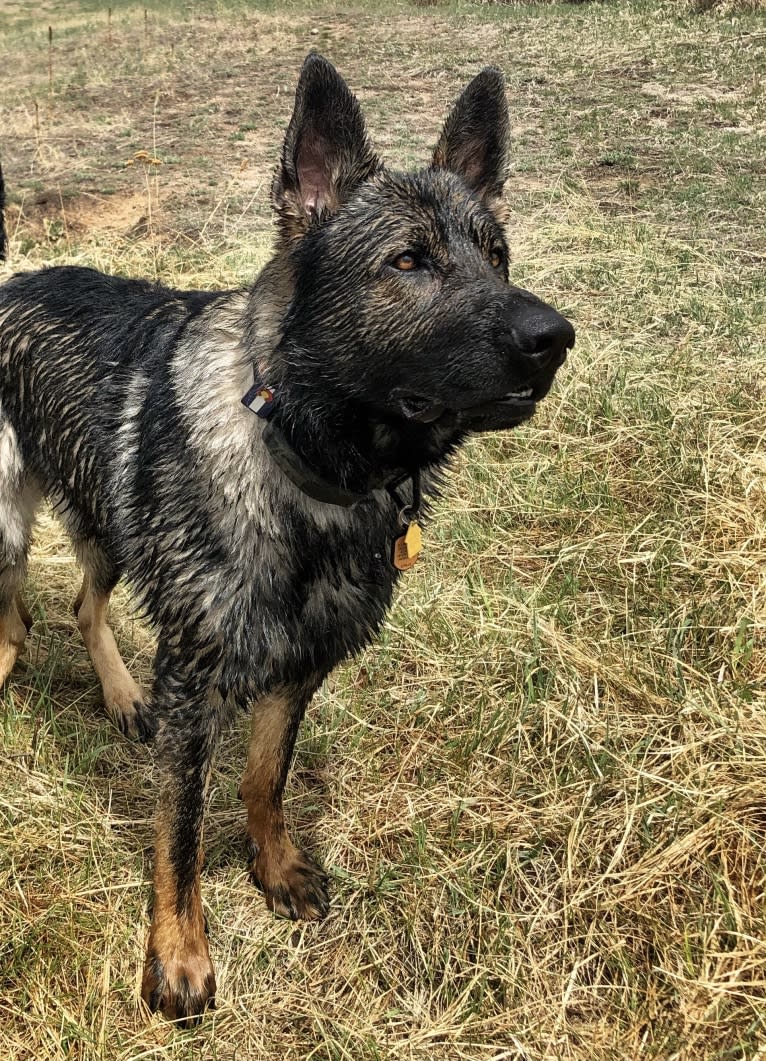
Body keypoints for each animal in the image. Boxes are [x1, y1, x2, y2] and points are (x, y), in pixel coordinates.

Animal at [0, 53, 572, 1022]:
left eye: (496, 258)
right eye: (408, 261)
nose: (555, 337)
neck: (307, 466)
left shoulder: (301, 661)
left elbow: (264, 777)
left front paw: (273, 868)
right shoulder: (195, 677)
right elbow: (181, 829)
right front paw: (179, 952)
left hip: (106, 524)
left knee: (79, 602)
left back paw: (117, 693)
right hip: (8, 523)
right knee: (15, 611)